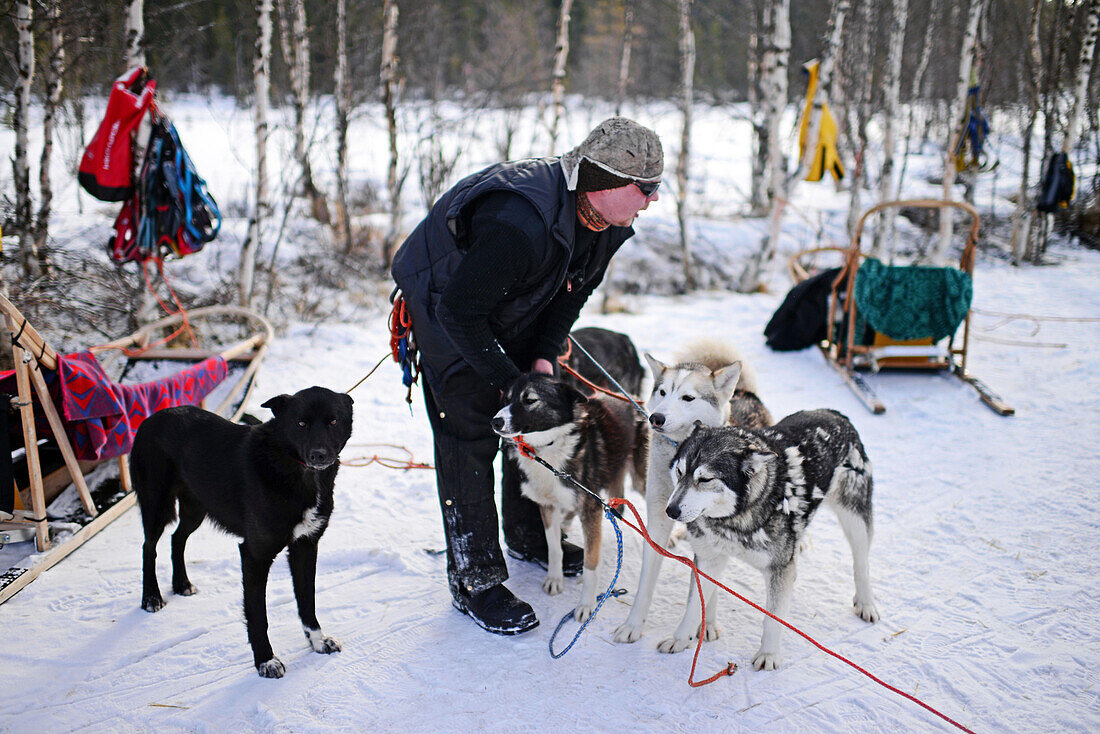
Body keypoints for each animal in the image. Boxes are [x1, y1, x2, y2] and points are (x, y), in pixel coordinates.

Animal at [129, 387, 354, 682]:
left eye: (333, 421)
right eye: (301, 423)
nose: (319, 455)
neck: (295, 470)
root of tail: (151, 418)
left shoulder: (306, 546)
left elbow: (308, 601)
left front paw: (317, 641)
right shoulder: (254, 555)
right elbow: (258, 615)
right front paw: (266, 661)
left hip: (197, 506)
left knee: (177, 538)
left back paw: (182, 584)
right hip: (158, 504)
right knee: (148, 547)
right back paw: (151, 597)